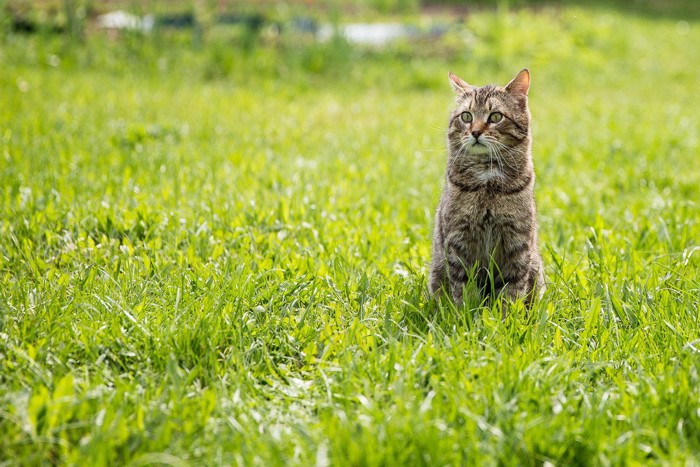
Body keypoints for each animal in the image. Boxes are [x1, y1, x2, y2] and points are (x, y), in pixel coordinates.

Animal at [426, 66, 548, 308]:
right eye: (466, 116)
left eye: (496, 117)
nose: (475, 132)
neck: (487, 179)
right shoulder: (458, 240)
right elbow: (463, 288)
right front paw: (465, 313)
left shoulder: (517, 242)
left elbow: (512, 290)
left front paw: (507, 315)